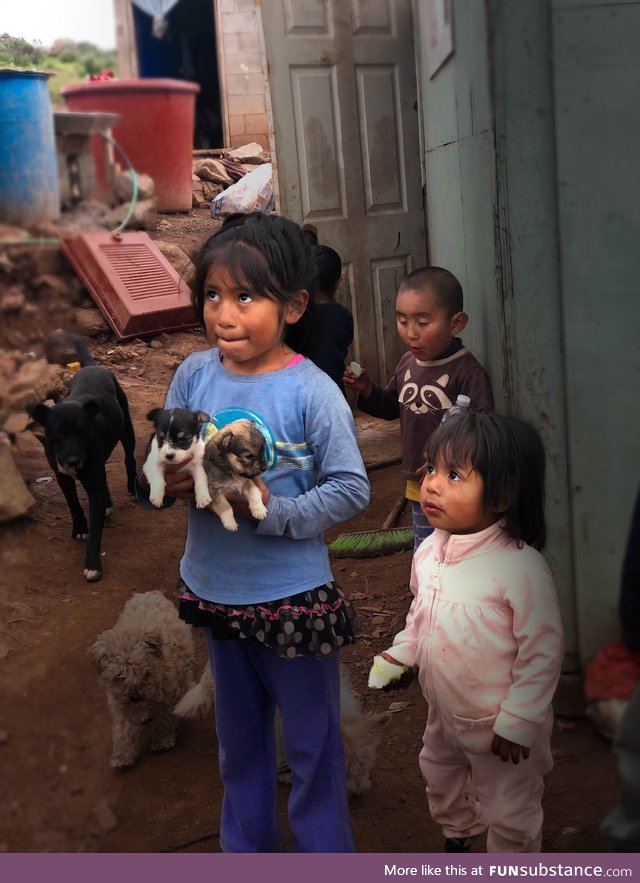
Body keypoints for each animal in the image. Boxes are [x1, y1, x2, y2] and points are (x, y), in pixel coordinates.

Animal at [29, 344, 138, 580]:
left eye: (82, 431)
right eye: (57, 434)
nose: (73, 460)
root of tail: (93, 367)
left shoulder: (93, 482)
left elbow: (96, 530)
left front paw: (92, 564)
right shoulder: (62, 477)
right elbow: (73, 503)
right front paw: (80, 528)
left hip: (127, 430)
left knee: (130, 458)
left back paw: (131, 488)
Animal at [89, 592, 196, 772]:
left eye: (144, 673)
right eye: (120, 677)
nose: (135, 697)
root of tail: (150, 593)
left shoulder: (165, 695)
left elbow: (164, 719)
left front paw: (162, 741)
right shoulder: (121, 702)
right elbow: (124, 729)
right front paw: (122, 755)